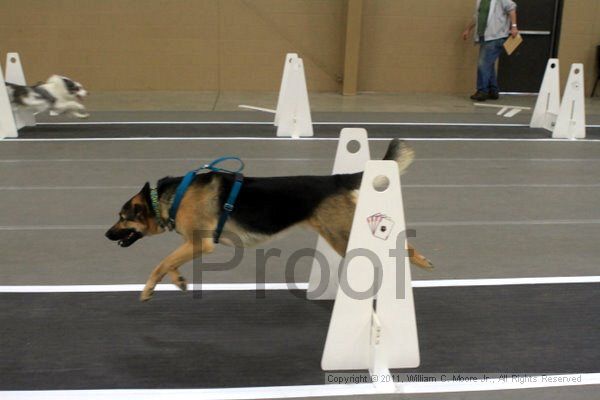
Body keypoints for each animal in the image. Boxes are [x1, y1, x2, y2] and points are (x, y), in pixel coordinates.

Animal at [105, 140, 428, 300]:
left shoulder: (200, 243)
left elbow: (160, 263)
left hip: (343, 235)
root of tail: (336, 179)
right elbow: (171, 263)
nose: (106, 235)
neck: (168, 198)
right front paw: (179, 281)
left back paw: (420, 260)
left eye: (122, 218)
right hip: (340, 235)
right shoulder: (192, 245)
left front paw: (148, 290)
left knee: (399, 248)